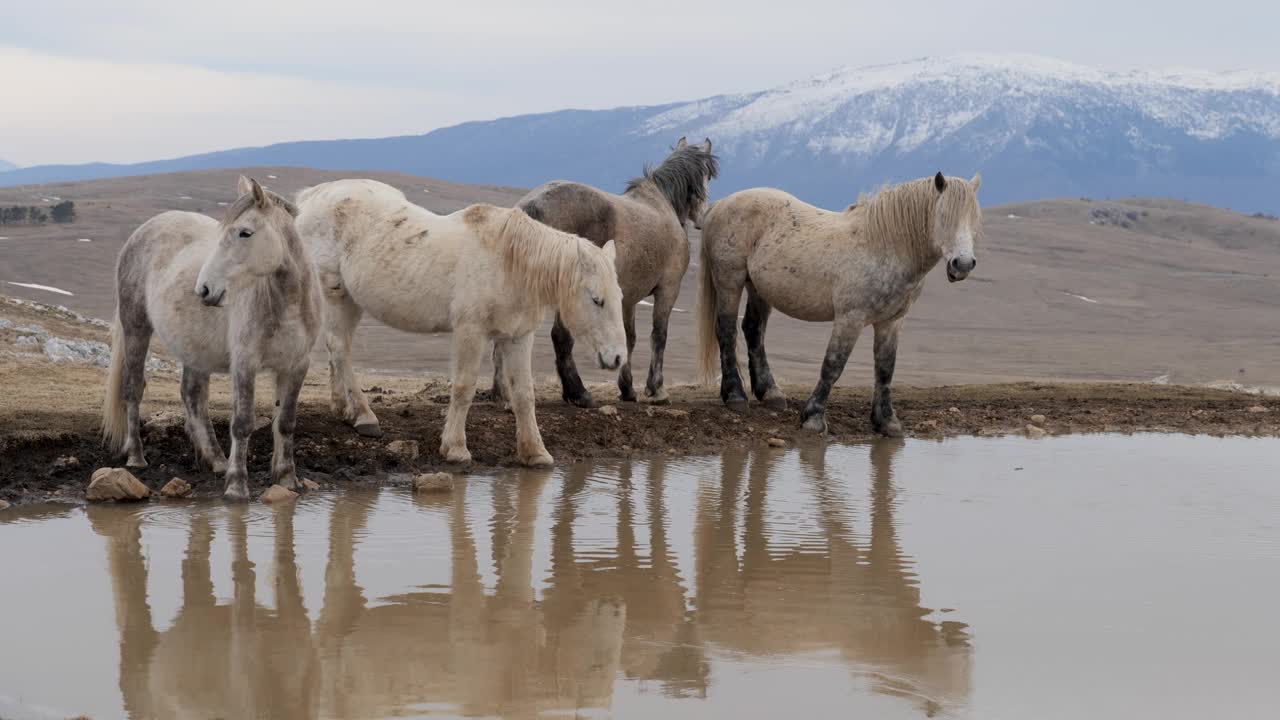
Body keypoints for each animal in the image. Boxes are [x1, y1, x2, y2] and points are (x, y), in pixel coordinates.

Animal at [105, 178, 325, 499]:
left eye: (245, 232)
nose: (205, 289)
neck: (288, 304)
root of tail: (142, 231)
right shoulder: (245, 363)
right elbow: (242, 423)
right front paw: (236, 485)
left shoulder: (296, 365)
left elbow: (286, 422)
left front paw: (287, 479)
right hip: (137, 328)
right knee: (133, 389)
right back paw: (136, 455)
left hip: (194, 349)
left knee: (193, 395)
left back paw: (215, 459)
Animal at [294, 179, 624, 466]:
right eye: (597, 300)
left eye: (619, 297)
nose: (618, 358)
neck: (508, 262)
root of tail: (312, 196)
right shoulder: (471, 331)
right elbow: (464, 387)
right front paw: (455, 448)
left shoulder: (518, 336)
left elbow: (524, 394)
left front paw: (535, 453)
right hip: (335, 292)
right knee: (340, 349)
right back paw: (365, 416)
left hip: (351, 300)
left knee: (337, 349)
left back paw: (343, 408)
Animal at [488, 134, 716, 404]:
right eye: (707, 175)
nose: (704, 217)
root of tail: (533, 205)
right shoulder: (668, 289)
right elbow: (659, 335)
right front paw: (656, 389)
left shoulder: (627, 298)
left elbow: (629, 337)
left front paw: (627, 389)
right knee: (561, 336)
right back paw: (578, 392)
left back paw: (502, 392)